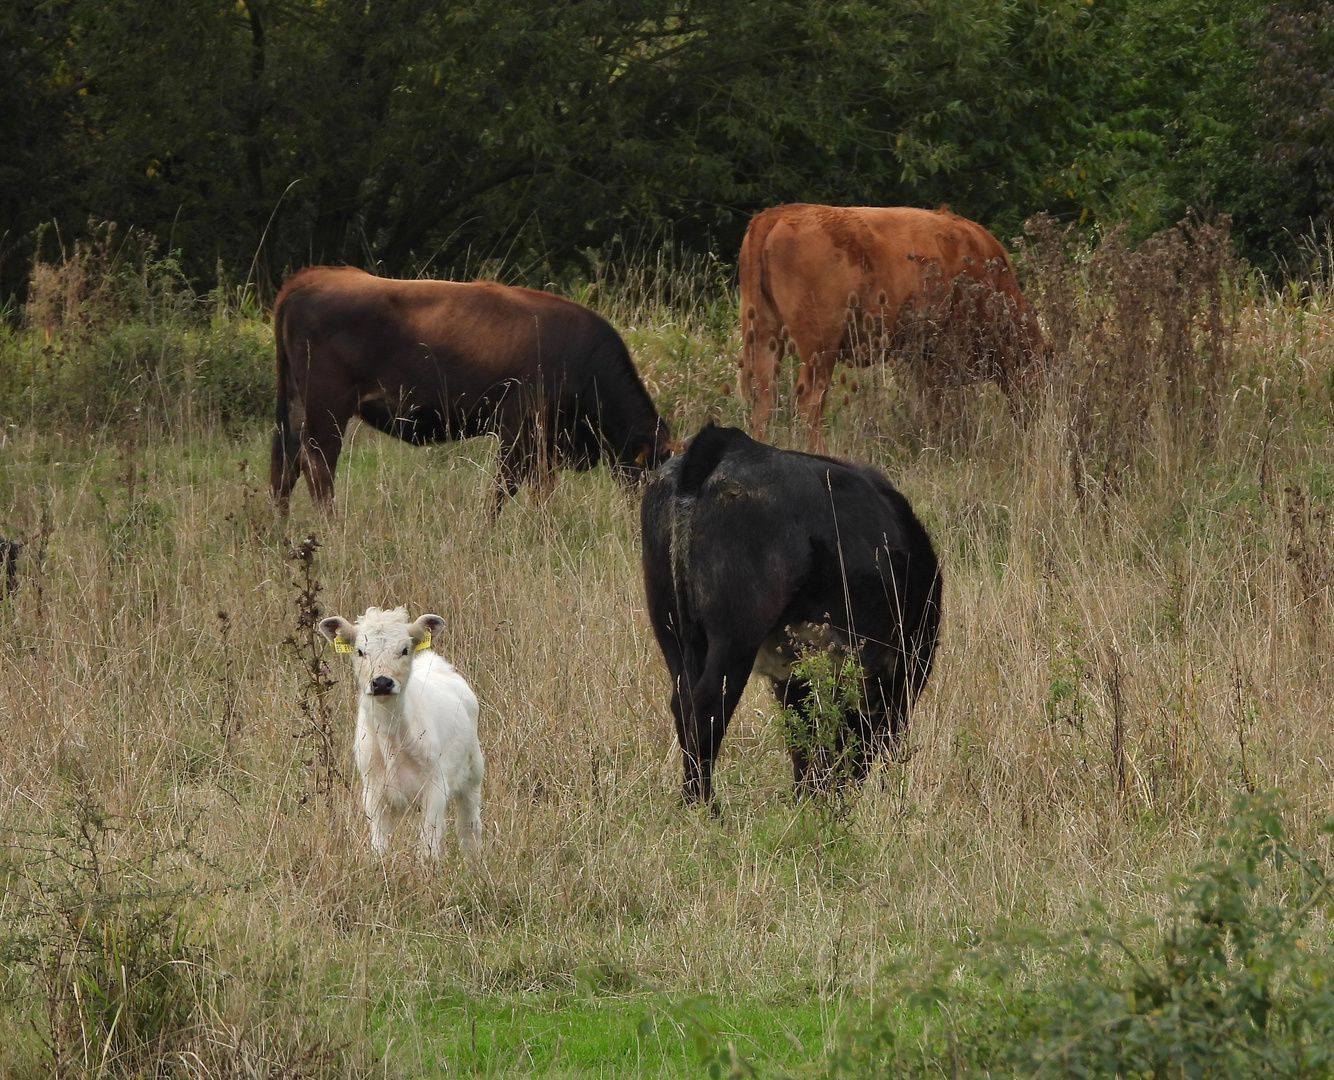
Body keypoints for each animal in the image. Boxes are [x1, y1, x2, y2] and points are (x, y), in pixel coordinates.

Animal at [317, 602, 485, 864]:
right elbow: (380, 847)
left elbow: (428, 850)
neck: (390, 739)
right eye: (360, 651)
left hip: (473, 774)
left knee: (469, 828)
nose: (381, 683)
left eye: (405, 649)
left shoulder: (435, 787)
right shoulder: (373, 793)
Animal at [640, 424, 944, 805]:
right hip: (735, 638)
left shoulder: (792, 675)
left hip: (672, 630)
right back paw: (705, 807)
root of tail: (726, 443)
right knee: (708, 708)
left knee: (683, 706)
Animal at [741, 204, 1040, 448]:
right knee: (810, 399)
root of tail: (779, 213)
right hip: (820, 343)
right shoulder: (940, 352)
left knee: (762, 397)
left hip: (764, 334)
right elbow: (940, 401)